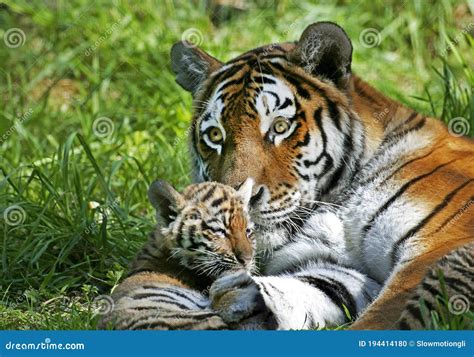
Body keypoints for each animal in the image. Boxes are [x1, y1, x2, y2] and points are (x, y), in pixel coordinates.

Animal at [168, 21, 474, 328]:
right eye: (215, 135)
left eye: (280, 127)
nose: (238, 202)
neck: (338, 200)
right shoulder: (337, 265)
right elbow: (317, 287)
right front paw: (239, 292)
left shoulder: (438, 246)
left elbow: (383, 317)